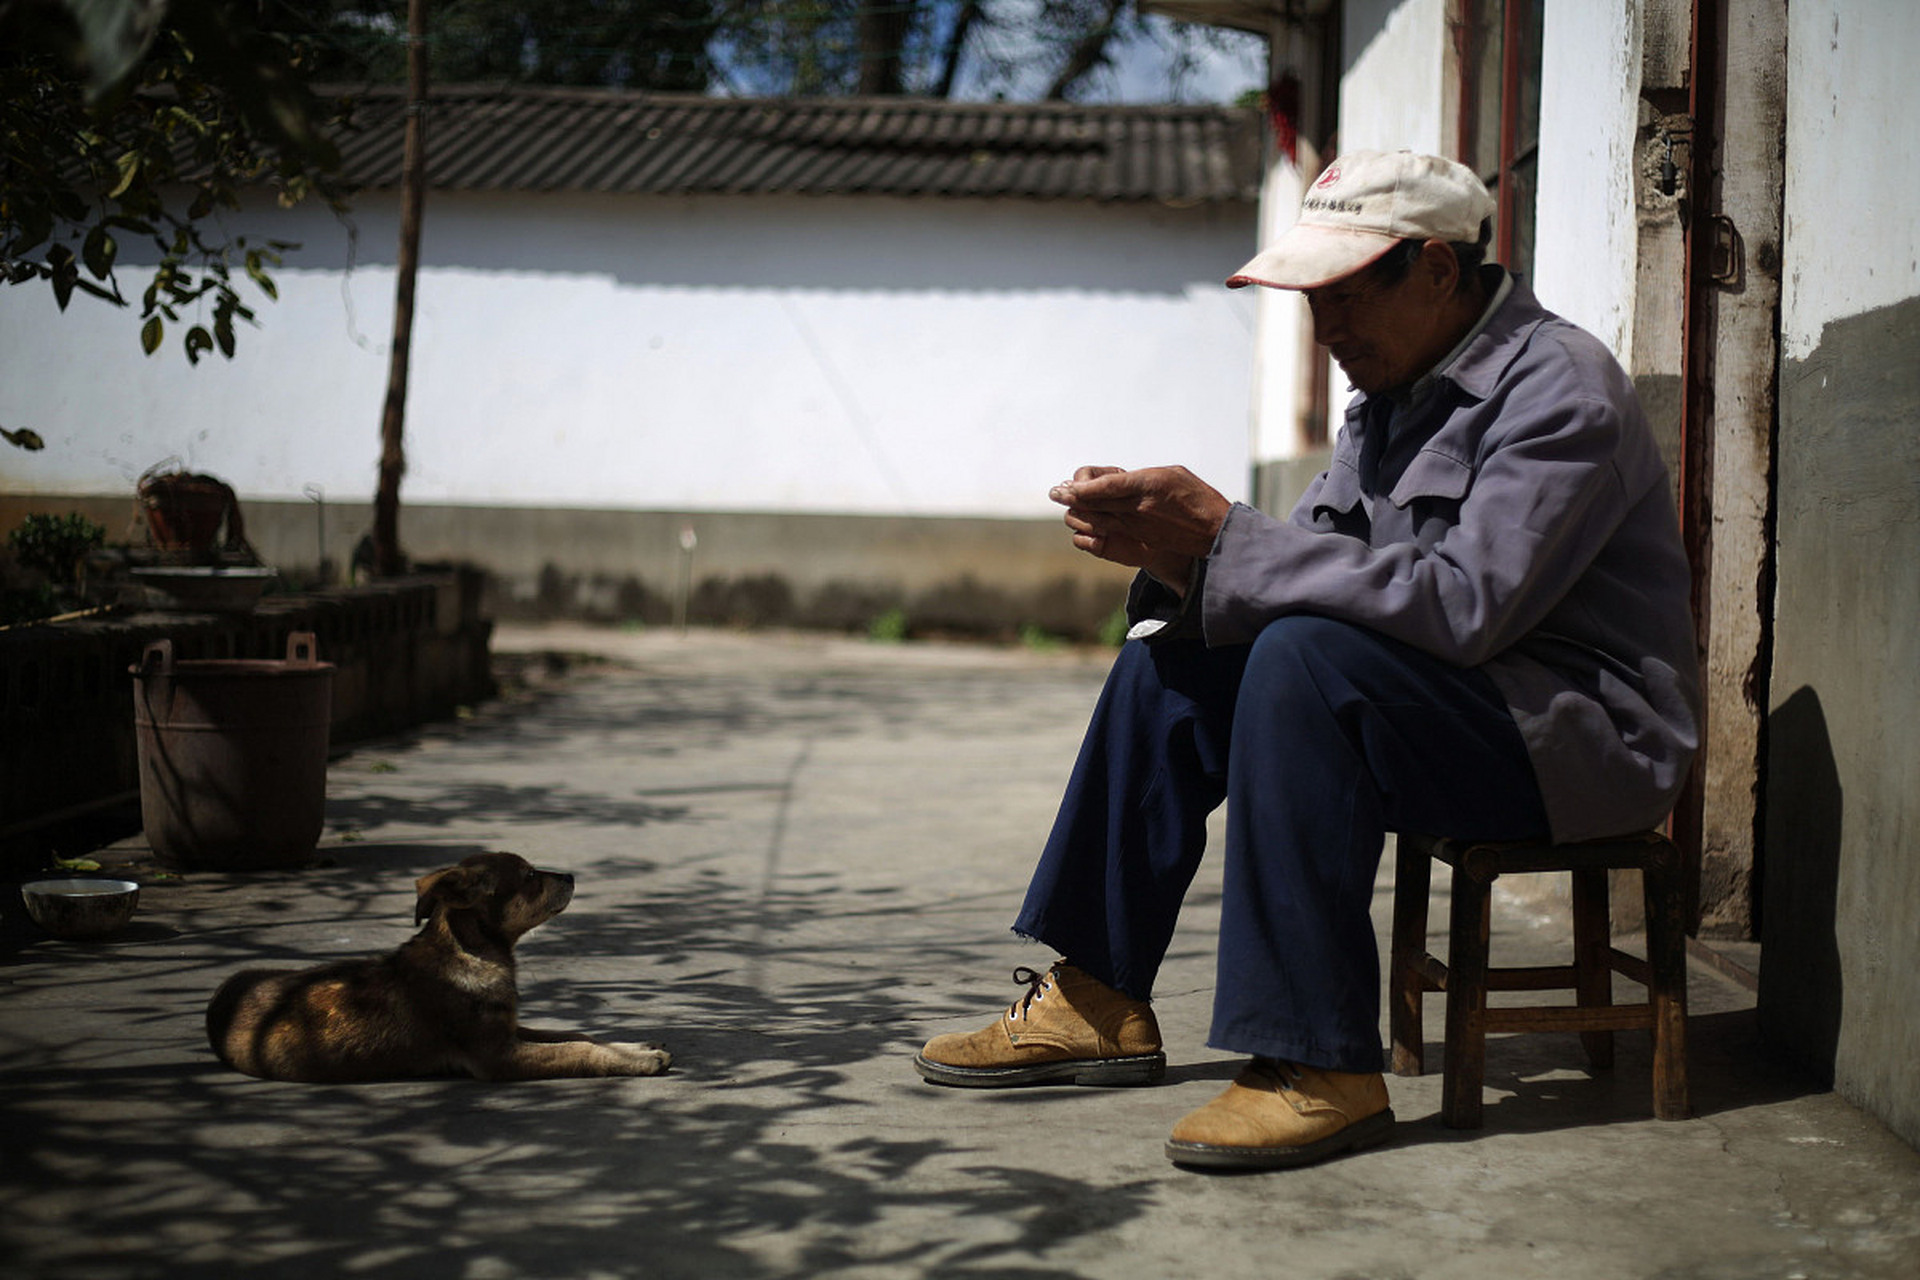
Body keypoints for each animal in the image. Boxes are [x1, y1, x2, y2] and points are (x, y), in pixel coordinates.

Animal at [207, 852, 672, 1082]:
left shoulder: (508, 1028)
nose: (572, 876)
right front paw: (638, 1062)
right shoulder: (495, 1056)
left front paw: (633, 1048)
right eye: (528, 876)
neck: (473, 951)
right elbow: (577, 1050)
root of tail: (220, 997)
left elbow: (577, 1034)